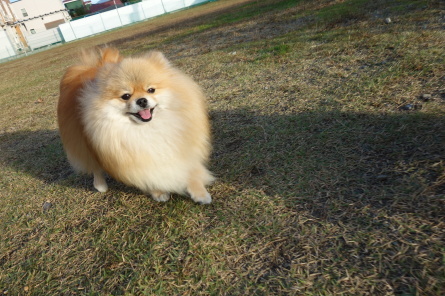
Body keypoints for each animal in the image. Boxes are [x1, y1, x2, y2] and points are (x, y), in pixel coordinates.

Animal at [57, 47, 213, 204]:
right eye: (126, 96)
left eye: (151, 90)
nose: (142, 101)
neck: (149, 129)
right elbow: (148, 175)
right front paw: (158, 192)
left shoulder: (183, 145)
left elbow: (190, 169)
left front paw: (199, 193)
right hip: (84, 142)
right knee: (93, 165)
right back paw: (100, 185)